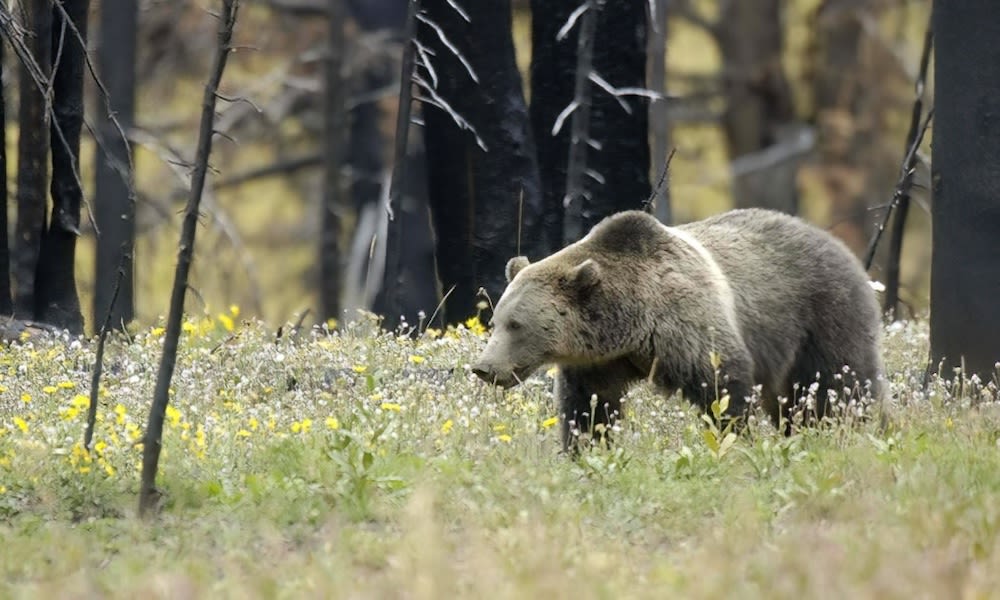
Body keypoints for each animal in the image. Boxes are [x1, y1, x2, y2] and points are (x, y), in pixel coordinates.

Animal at [470, 210, 884, 450]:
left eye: (516, 325)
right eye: (496, 321)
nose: (484, 368)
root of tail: (837, 243)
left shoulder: (686, 324)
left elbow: (722, 385)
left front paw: (736, 440)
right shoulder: (601, 361)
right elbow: (589, 406)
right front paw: (586, 449)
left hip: (822, 314)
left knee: (839, 383)